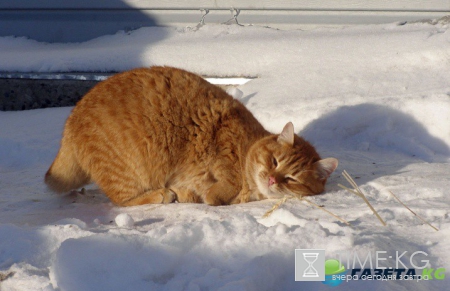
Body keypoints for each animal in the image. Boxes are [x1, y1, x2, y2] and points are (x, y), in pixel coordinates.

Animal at [44, 67, 338, 206]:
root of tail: (71, 119)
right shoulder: (222, 140)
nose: (272, 179)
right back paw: (159, 195)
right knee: (122, 200)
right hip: (129, 171)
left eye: (292, 179)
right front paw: (217, 194)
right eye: (275, 162)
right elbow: (227, 178)